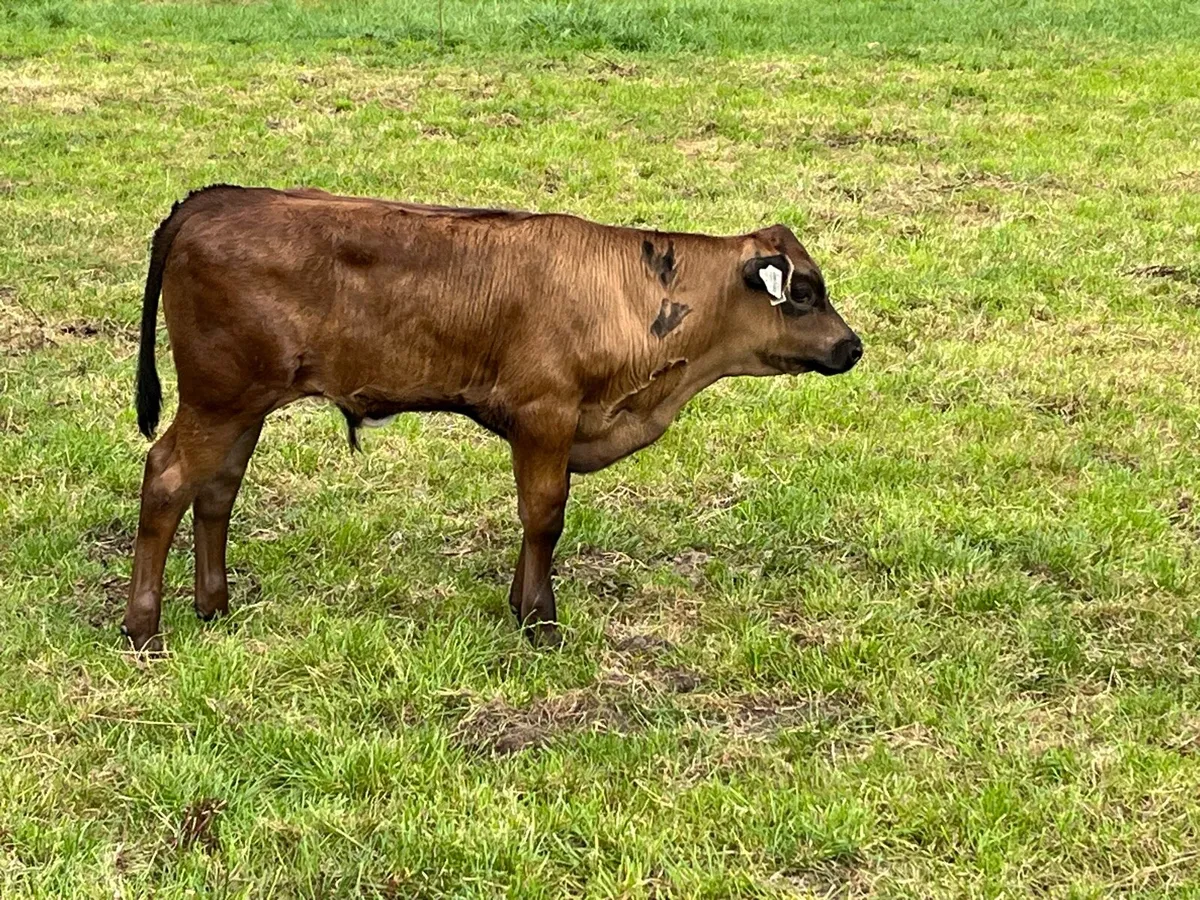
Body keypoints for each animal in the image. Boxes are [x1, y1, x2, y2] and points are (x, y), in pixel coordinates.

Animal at [120, 185, 862, 652]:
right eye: (804, 291)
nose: (852, 346)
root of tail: (214, 199)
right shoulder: (545, 414)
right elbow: (544, 516)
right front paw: (540, 622)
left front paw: (519, 603)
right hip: (218, 399)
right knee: (167, 478)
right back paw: (144, 629)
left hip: (243, 404)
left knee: (216, 490)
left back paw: (214, 608)